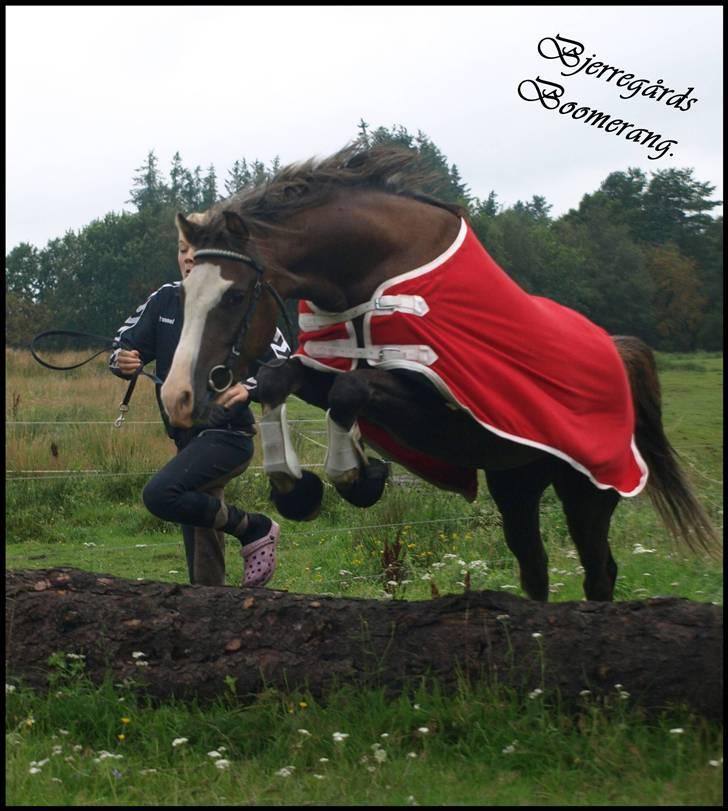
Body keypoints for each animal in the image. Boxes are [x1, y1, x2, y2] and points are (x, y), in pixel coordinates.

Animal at [160, 144, 717, 602]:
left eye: (234, 295)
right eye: (185, 292)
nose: (179, 397)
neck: (379, 281)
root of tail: (617, 351)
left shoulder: (440, 409)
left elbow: (351, 390)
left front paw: (354, 476)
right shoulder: (328, 370)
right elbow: (284, 379)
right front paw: (294, 486)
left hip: (589, 489)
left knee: (599, 574)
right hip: (516, 482)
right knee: (534, 568)